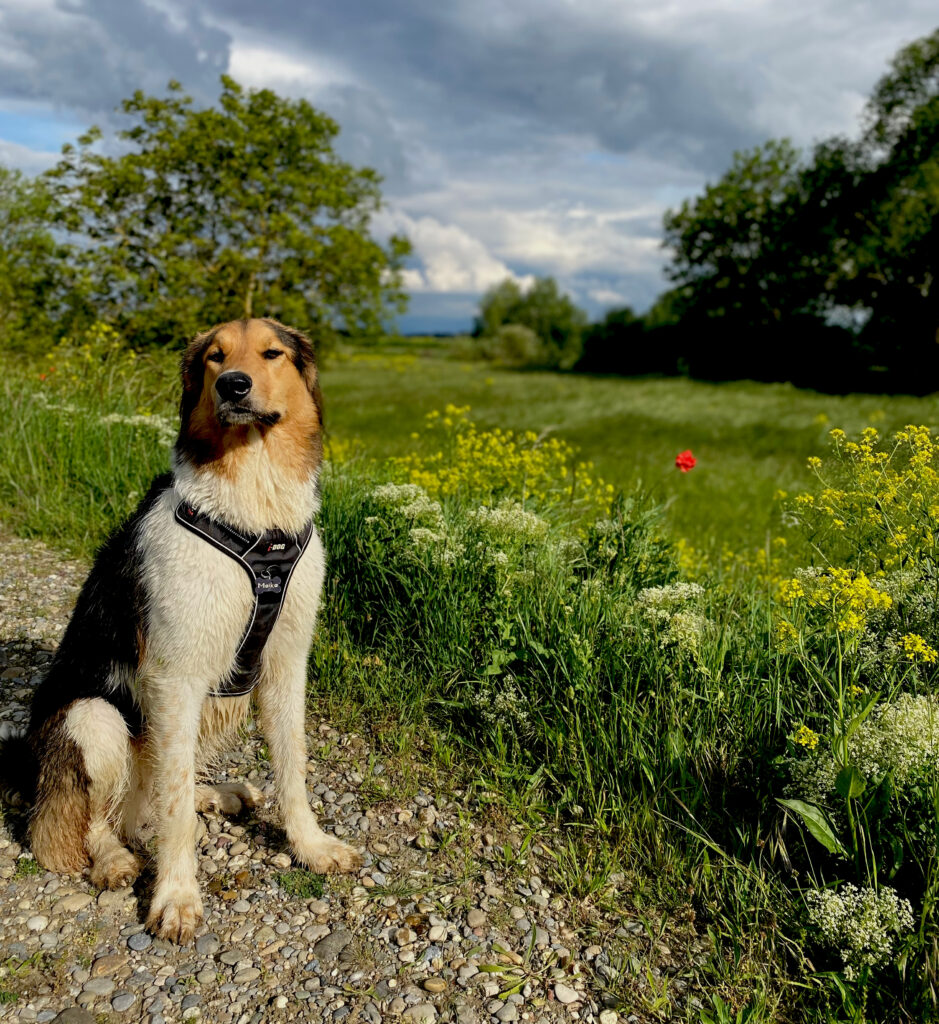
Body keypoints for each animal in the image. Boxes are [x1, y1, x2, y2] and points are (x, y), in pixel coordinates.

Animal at [9, 317, 360, 942]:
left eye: (272, 353)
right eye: (214, 358)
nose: (233, 385)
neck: (257, 513)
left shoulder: (286, 664)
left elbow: (293, 767)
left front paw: (311, 846)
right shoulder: (173, 678)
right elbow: (172, 815)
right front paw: (175, 896)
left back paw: (215, 795)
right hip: (93, 718)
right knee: (87, 823)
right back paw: (114, 858)